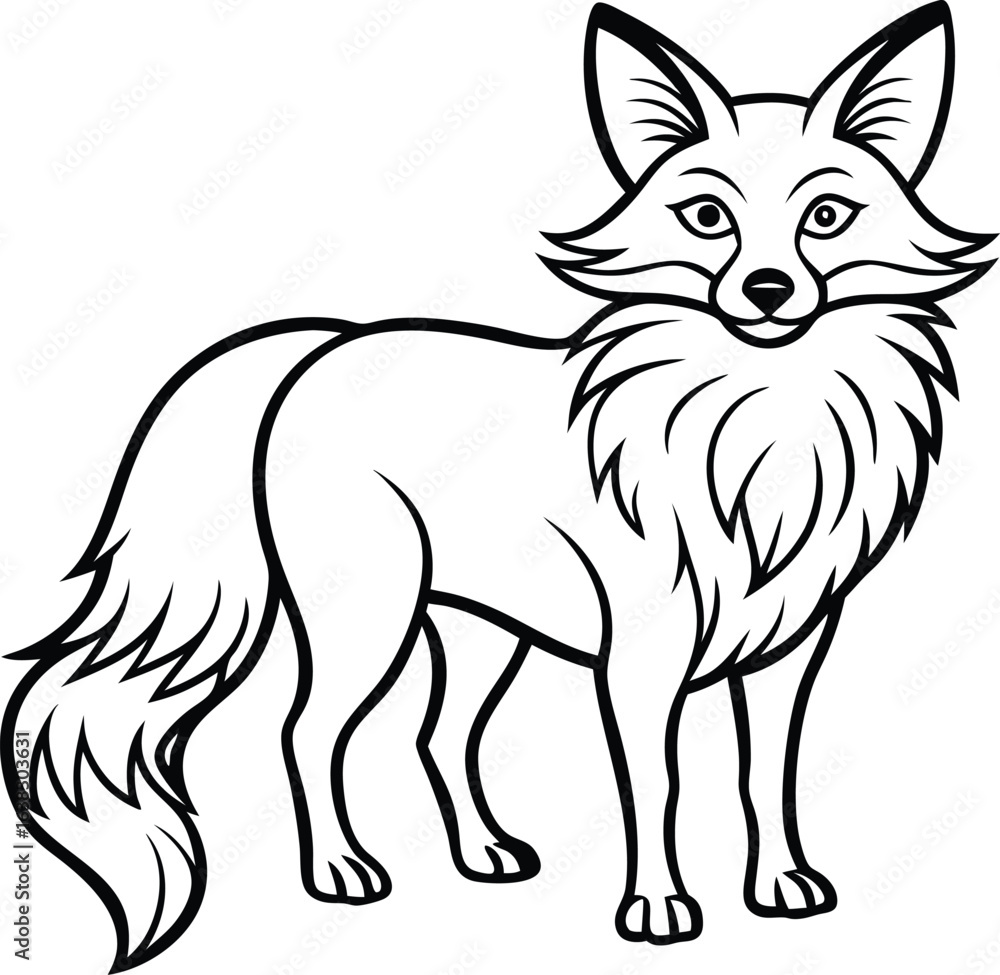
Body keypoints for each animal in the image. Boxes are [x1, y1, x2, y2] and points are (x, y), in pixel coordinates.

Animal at [2, 2, 994, 970]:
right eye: (708, 216)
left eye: (827, 215)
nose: (768, 289)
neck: (760, 419)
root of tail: (325, 342)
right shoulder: (640, 664)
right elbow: (657, 787)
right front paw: (657, 910)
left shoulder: (793, 650)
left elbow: (766, 775)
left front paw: (782, 886)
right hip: (373, 618)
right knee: (304, 730)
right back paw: (340, 871)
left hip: (482, 632)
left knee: (435, 737)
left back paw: (484, 854)